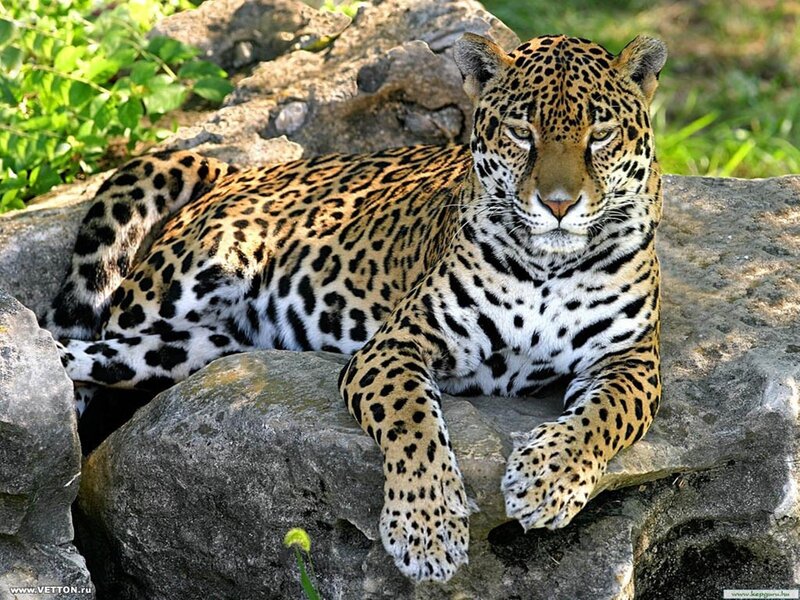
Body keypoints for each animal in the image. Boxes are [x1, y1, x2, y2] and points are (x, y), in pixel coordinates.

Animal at [44, 32, 667, 583]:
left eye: (600, 133)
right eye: (521, 132)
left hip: (187, 350)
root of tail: (240, 169)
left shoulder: (632, 362)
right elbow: (414, 422)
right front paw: (427, 530)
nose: (559, 204)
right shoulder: (394, 345)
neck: (547, 267)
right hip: (175, 287)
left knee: (86, 355)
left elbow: (603, 418)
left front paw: (546, 484)